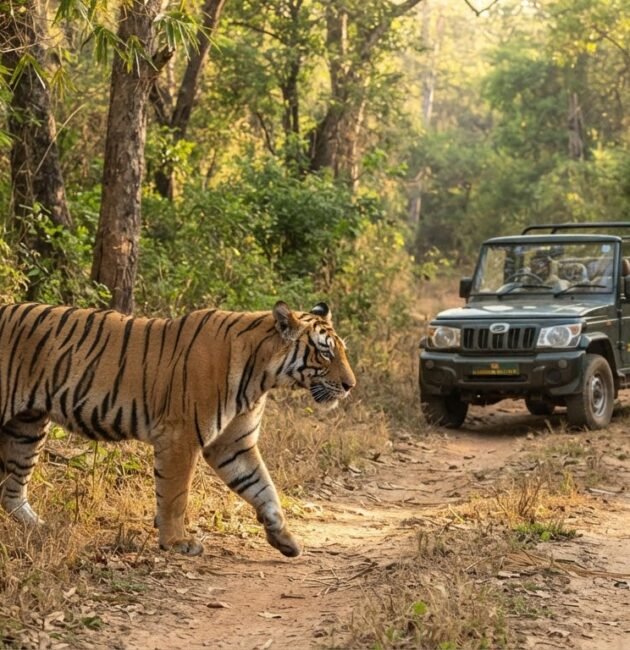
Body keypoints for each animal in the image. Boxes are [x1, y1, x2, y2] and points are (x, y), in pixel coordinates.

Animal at [0, 300, 355, 557]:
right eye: (325, 352)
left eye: (343, 351)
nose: (350, 386)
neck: (263, 376)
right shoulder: (180, 437)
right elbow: (175, 496)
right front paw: (176, 542)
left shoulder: (234, 444)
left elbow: (263, 488)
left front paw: (284, 539)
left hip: (28, 427)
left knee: (11, 490)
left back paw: (39, 528)